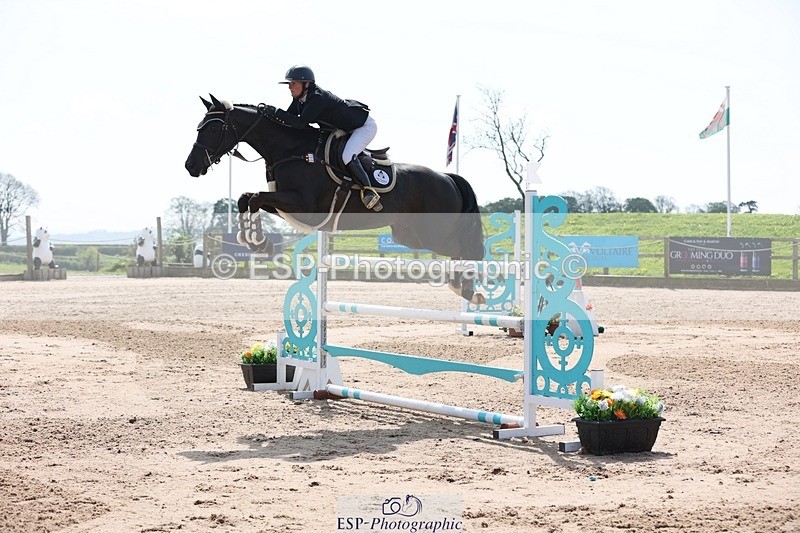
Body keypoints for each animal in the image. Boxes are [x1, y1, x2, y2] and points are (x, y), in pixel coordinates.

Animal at [184, 94, 486, 304]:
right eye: (198, 127)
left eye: (212, 129)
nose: (190, 166)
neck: (292, 149)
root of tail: (448, 177)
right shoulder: (284, 204)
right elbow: (247, 198)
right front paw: (257, 241)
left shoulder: (303, 205)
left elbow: (255, 198)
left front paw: (259, 242)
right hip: (410, 235)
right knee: (458, 253)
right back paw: (463, 288)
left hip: (435, 232)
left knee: (466, 251)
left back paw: (470, 290)